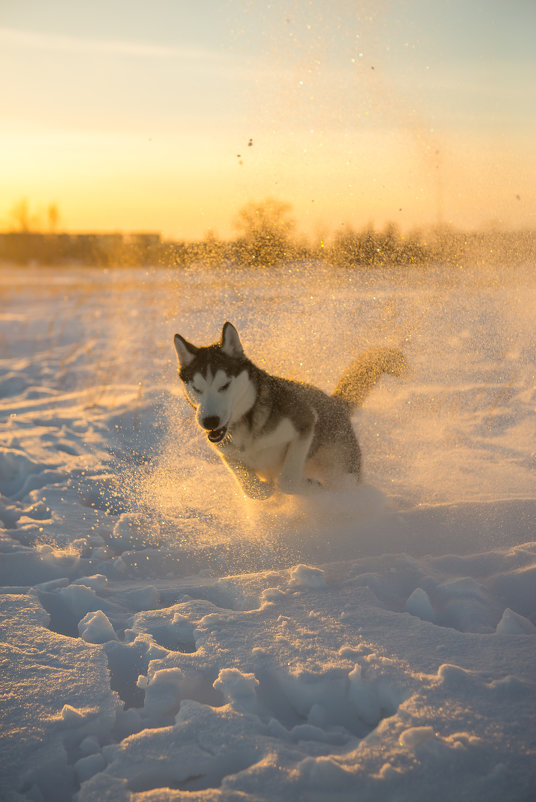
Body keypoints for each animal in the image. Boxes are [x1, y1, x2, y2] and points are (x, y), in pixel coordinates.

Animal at [174, 322, 404, 496]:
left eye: (224, 385)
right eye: (197, 388)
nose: (209, 421)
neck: (246, 426)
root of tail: (335, 403)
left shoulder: (304, 420)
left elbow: (287, 481)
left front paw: (306, 486)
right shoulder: (226, 453)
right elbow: (253, 489)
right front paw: (266, 489)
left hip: (341, 466)